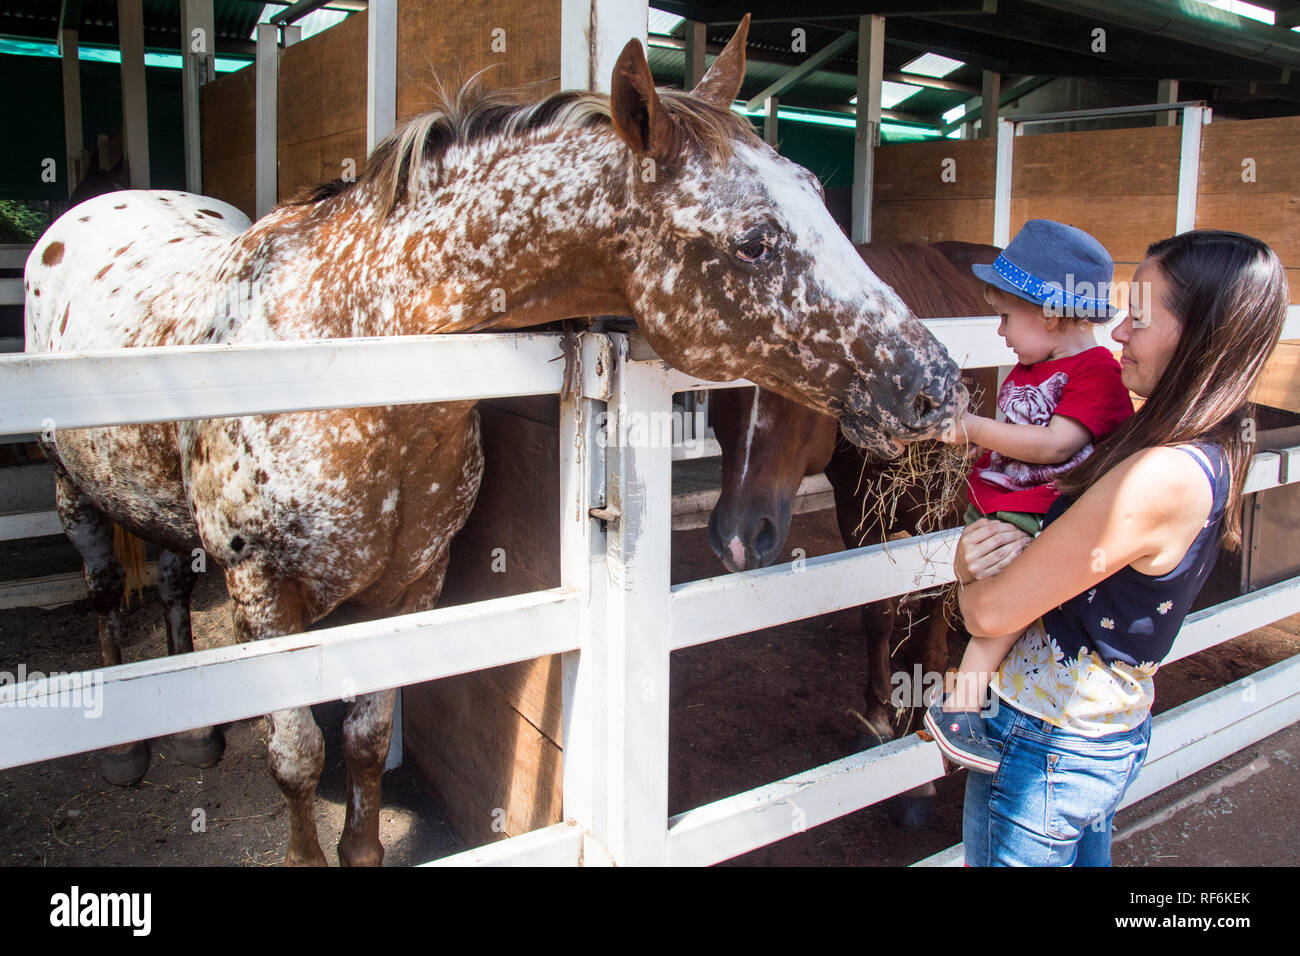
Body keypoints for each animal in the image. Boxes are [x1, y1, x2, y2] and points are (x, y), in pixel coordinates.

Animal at [20, 16, 967, 868]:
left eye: (816, 192)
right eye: (756, 240)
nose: (938, 381)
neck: (345, 344)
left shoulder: (411, 582)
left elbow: (366, 736)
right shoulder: (263, 595)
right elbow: (297, 756)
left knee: (169, 577)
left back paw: (198, 731)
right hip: (73, 492)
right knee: (105, 587)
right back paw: (127, 747)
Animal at [707, 240, 998, 832]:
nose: (738, 537)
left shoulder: (942, 517)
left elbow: (931, 616)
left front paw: (925, 731)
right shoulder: (860, 513)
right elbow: (876, 612)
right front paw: (880, 719)